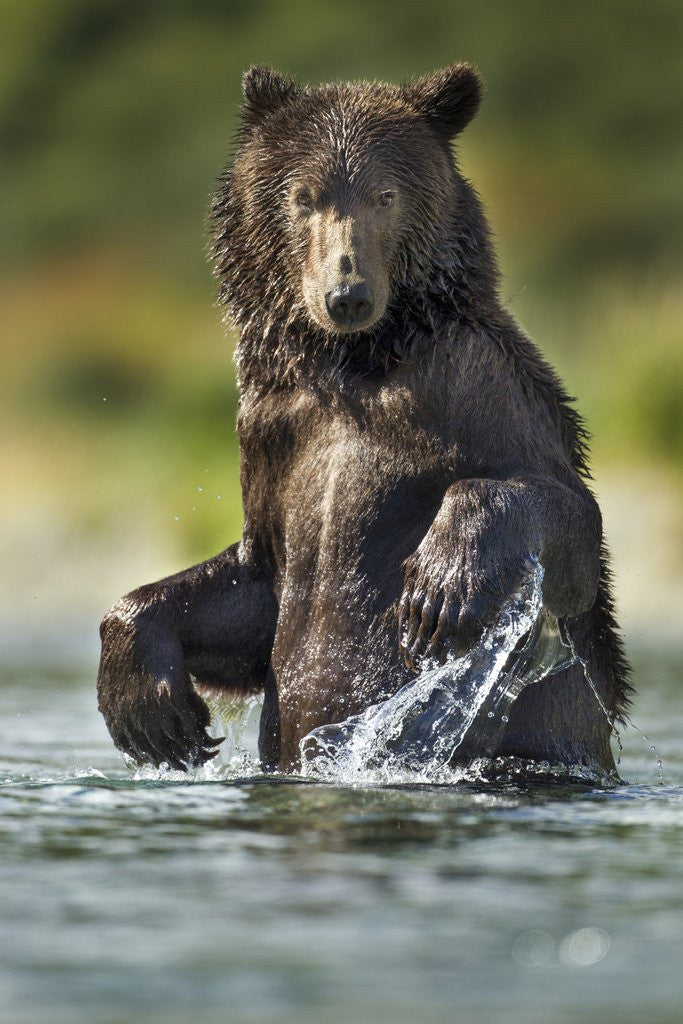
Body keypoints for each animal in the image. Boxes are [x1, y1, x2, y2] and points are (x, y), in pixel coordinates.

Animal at [97, 63, 631, 775]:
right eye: (303, 196)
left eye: (385, 194)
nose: (346, 294)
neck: (353, 364)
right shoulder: (272, 431)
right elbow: (253, 586)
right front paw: (152, 709)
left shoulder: (477, 381)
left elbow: (566, 521)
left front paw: (440, 584)